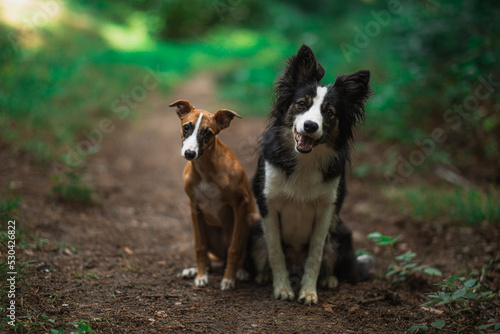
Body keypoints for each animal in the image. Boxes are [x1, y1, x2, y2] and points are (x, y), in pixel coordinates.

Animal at [171, 99, 260, 290]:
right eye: (186, 127)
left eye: (208, 133)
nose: (190, 153)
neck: (205, 168)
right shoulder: (194, 206)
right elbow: (200, 246)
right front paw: (200, 275)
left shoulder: (241, 204)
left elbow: (235, 248)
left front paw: (228, 279)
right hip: (206, 227)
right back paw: (196, 270)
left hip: (251, 220)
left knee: (240, 252)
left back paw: (240, 271)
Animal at [250, 45, 372, 306]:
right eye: (301, 104)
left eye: (330, 112)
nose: (310, 126)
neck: (305, 160)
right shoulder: (268, 205)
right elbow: (275, 251)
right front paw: (282, 288)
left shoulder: (326, 209)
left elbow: (316, 255)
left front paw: (308, 292)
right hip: (254, 230)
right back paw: (263, 276)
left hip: (342, 232)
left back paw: (329, 279)